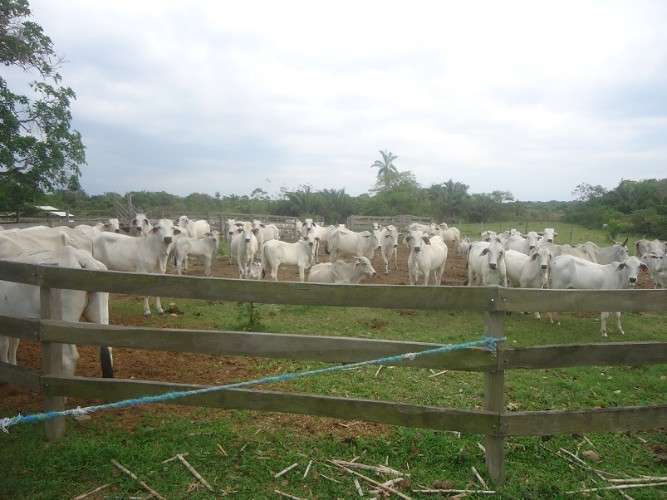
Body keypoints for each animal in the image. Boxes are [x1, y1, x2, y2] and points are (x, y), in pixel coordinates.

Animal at [0, 246, 113, 378]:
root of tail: (82, 259)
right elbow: (13, 343)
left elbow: (4, 345)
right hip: (99, 314)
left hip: (65, 319)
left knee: (68, 358)